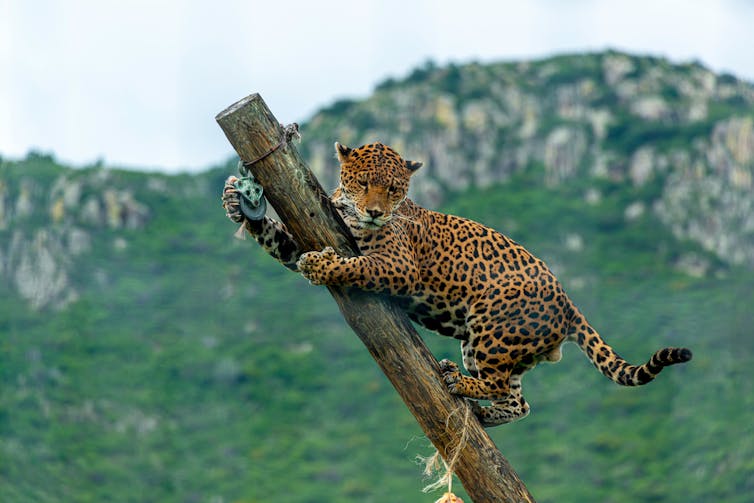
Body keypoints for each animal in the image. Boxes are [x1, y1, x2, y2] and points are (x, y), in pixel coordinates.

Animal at [222, 141, 692, 427]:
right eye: (364, 183)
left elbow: (356, 267)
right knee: (518, 401)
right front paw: (238, 201)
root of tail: (568, 302)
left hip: (491, 328)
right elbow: (283, 242)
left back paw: (458, 384)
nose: (375, 212)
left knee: (501, 386)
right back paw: (478, 409)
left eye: (393, 189)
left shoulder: (399, 265)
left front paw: (322, 264)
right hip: (492, 344)